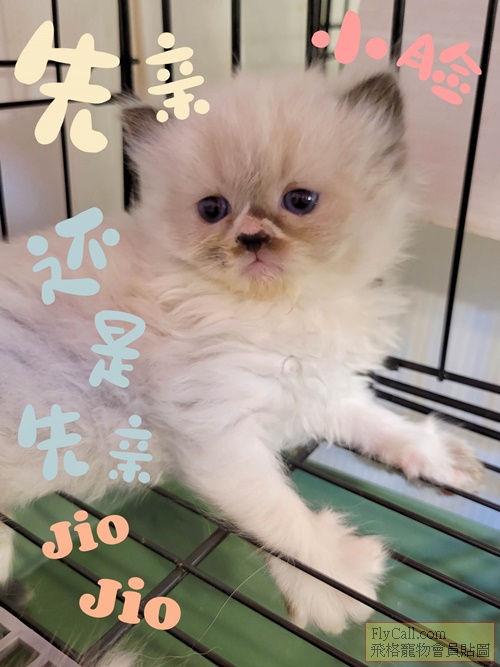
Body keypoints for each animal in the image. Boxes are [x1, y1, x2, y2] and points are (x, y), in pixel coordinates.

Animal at [0, 68, 483, 649]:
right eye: (212, 210)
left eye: (300, 201)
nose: (252, 238)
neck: (277, 309)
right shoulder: (220, 433)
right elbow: (282, 517)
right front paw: (335, 586)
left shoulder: (317, 387)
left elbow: (379, 424)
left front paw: (443, 459)